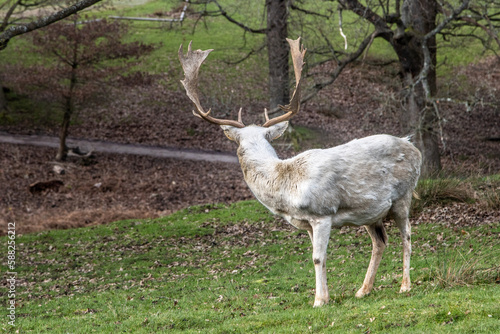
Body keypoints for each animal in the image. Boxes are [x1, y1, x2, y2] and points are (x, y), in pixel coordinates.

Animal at [180, 37, 422, 306]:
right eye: (242, 142)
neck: (286, 190)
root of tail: (413, 146)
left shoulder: (322, 213)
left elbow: (318, 258)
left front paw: (319, 301)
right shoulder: (306, 224)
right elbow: (317, 258)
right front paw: (324, 297)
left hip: (403, 194)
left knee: (407, 235)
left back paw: (405, 286)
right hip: (371, 212)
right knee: (380, 242)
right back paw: (363, 290)